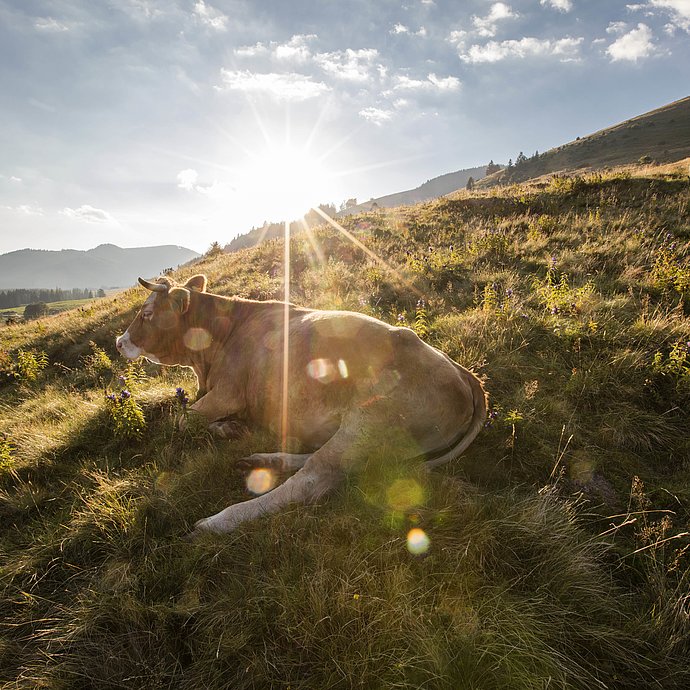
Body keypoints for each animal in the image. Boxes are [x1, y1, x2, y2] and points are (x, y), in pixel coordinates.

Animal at [115, 272, 486, 532]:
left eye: (147, 313)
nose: (119, 342)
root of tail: (464, 374)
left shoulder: (227, 392)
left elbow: (180, 421)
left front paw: (226, 428)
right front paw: (231, 429)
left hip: (370, 421)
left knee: (314, 478)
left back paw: (219, 522)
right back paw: (263, 459)